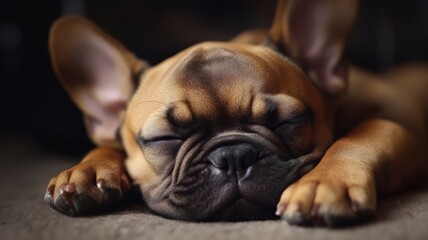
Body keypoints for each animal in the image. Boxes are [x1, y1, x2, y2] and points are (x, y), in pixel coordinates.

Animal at [43, 0, 428, 227]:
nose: (233, 156)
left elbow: (359, 136)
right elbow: (106, 147)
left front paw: (325, 183)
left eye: (288, 121)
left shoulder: (401, 135)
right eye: (164, 138)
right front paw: (87, 171)